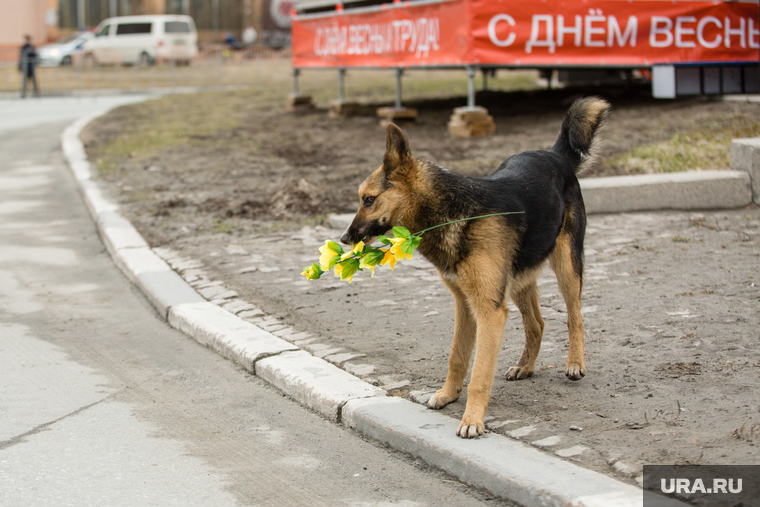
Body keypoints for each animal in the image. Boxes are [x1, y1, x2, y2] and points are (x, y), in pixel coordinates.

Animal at [342, 97, 608, 438]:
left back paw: (575, 363)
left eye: (369, 199)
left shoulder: (489, 310)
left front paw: (472, 419)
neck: (454, 212)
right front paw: (448, 394)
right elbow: (457, 356)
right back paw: (525, 366)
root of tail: (555, 155)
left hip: (566, 267)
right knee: (536, 324)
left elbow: (480, 372)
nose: (344, 238)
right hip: (518, 280)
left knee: (575, 318)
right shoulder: (465, 304)